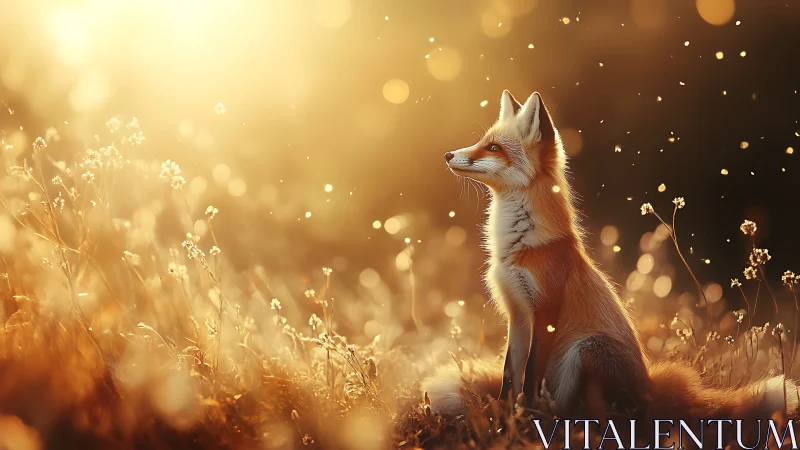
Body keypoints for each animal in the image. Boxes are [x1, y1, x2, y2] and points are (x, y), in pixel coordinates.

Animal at [423, 89, 798, 423]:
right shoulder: (516, 313)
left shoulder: (544, 310)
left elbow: (529, 375)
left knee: (599, 412)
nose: (446, 154)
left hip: (587, 348)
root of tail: (650, 388)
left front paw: (522, 417)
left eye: (494, 148)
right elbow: (508, 374)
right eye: (484, 141)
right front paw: (503, 417)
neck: (519, 246)